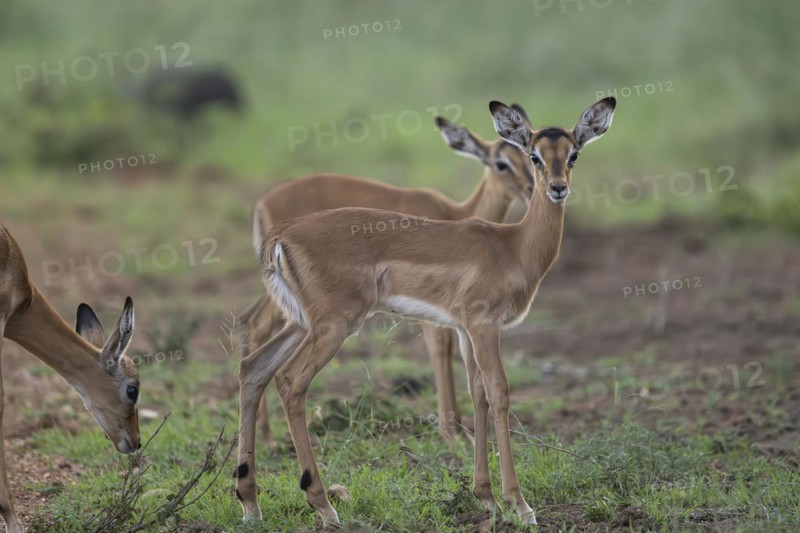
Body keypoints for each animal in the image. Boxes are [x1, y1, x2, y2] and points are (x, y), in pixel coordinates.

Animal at [242, 110, 535, 441]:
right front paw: (451, 430)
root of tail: (264, 204)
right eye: (501, 163)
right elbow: (440, 348)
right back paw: (266, 434)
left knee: (253, 330)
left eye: (529, 156)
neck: (455, 213)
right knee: (260, 327)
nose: (532, 189)